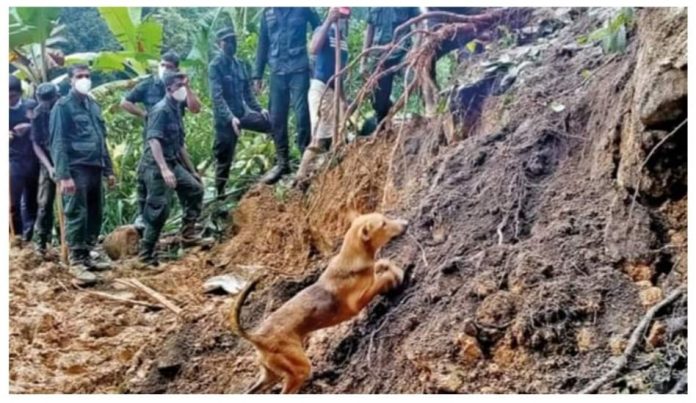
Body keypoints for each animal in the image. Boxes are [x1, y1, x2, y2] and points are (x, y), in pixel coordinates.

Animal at [232, 213, 408, 392]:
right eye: (383, 224)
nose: (406, 223)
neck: (352, 258)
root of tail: (257, 337)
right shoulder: (357, 303)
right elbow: (380, 281)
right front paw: (394, 276)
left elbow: (380, 264)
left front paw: (387, 267)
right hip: (299, 370)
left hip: (270, 374)